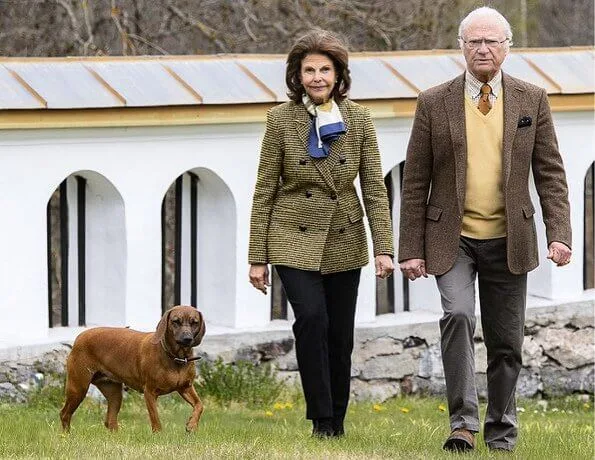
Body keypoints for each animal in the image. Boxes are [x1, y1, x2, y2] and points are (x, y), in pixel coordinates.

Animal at [59, 306, 206, 432]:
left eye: (195, 322)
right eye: (176, 321)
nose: (187, 338)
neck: (176, 358)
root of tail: (80, 336)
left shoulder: (185, 387)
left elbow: (200, 405)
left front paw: (191, 425)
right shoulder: (150, 392)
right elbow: (156, 419)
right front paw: (159, 435)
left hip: (113, 391)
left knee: (110, 420)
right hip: (78, 387)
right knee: (64, 413)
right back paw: (67, 435)